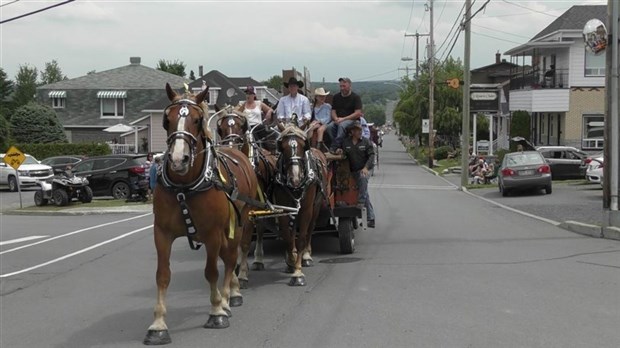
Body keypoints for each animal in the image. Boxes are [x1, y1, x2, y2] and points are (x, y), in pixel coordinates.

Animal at [145, 82, 260, 346]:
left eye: (197, 120)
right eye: (167, 120)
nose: (178, 159)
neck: (184, 186)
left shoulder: (213, 234)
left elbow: (212, 271)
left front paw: (217, 309)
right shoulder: (161, 233)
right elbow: (162, 275)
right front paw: (158, 323)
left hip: (240, 222)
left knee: (233, 256)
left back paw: (230, 295)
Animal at [217, 111, 278, 288]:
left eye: (241, 127)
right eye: (221, 129)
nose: (231, 148)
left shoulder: (250, 209)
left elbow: (244, 242)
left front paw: (243, 274)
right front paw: (236, 268)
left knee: (260, 228)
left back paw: (258, 259)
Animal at [272, 125, 326, 286]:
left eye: (303, 145)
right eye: (282, 147)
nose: (295, 179)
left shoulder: (307, 210)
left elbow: (301, 237)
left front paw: (297, 272)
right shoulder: (284, 207)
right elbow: (287, 236)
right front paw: (291, 260)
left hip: (316, 206)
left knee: (310, 228)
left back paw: (306, 256)